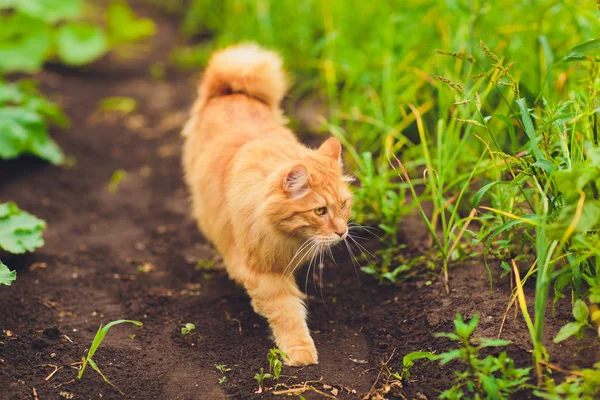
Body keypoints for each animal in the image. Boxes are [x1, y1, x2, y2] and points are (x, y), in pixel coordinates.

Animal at [182, 43, 352, 366]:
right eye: (320, 211)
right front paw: (299, 352)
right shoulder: (265, 273)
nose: (342, 232)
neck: (290, 237)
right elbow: (287, 314)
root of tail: (231, 90)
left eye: (344, 206)